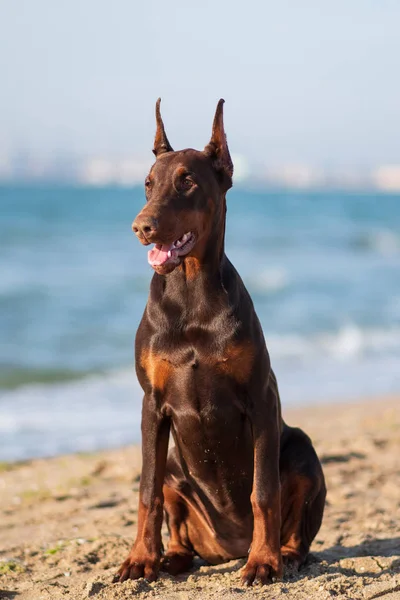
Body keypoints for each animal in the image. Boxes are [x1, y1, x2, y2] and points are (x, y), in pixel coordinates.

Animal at [116, 99, 324, 584]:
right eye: (148, 183)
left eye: (187, 181)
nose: (141, 226)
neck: (190, 295)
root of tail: (228, 548)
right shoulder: (151, 404)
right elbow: (146, 491)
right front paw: (140, 558)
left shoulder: (261, 398)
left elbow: (263, 491)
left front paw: (263, 561)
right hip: (176, 466)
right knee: (175, 515)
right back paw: (171, 557)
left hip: (302, 450)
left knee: (297, 527)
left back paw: (282, 554)